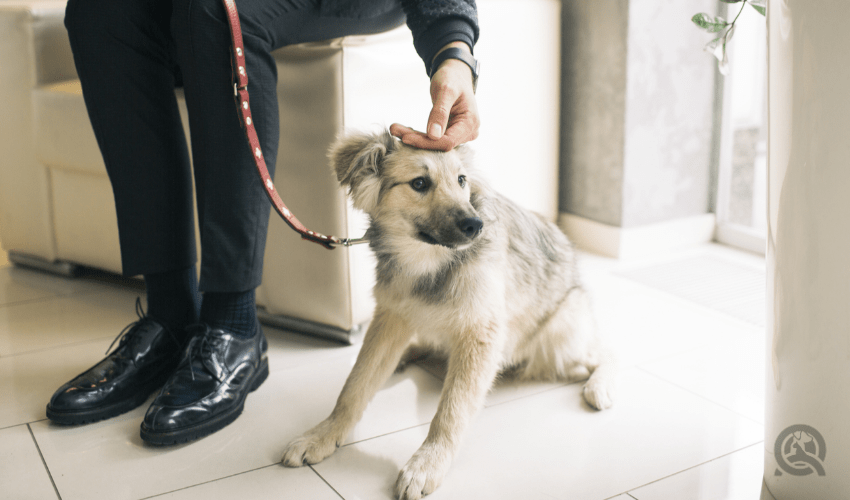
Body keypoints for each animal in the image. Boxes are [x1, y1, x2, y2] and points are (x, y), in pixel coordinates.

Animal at [280, 132, 616, 500]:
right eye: (419, 183)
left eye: (461, 180)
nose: (475, 225)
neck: (428, 262)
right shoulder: (391, 318)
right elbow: (354, 387)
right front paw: (324, 434)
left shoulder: (480, 333)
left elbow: (451, 411)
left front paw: (428, 463)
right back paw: (405, 357)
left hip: (560, 336)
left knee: (604, 354)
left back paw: (600, 386)